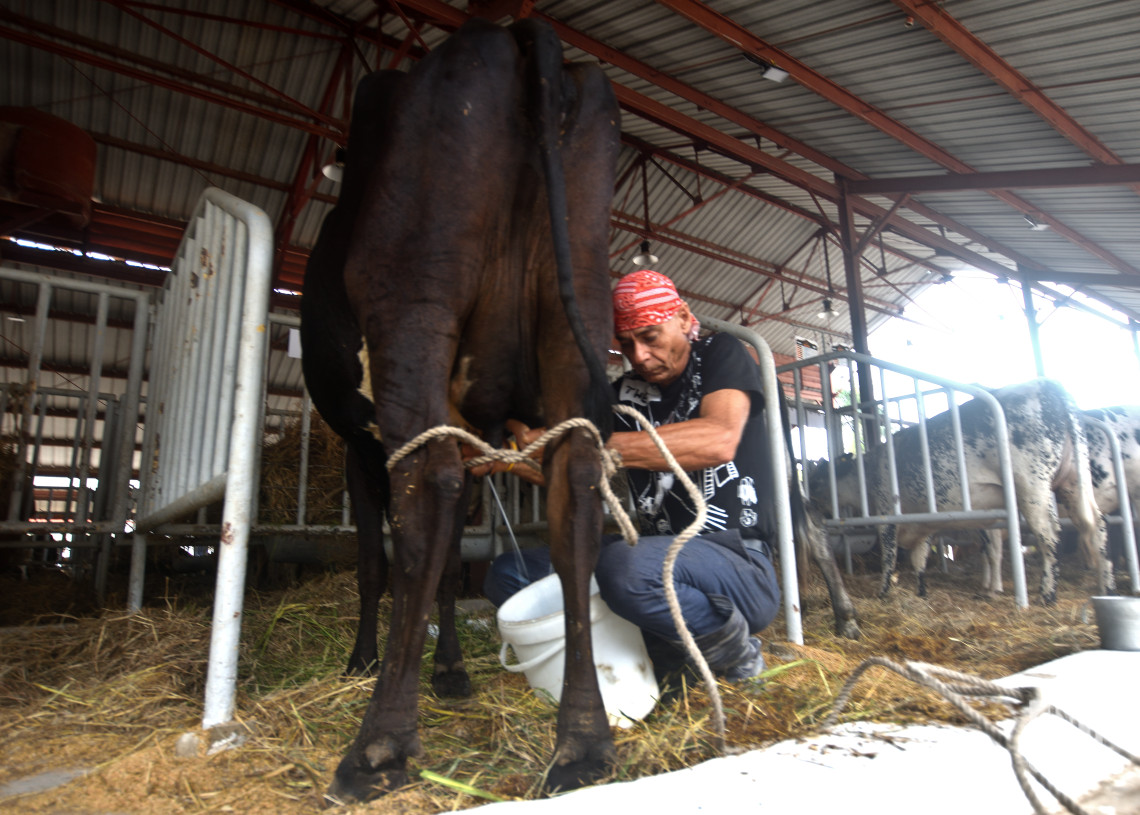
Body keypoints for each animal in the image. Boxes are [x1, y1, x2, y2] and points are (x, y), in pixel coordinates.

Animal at [298, 17, 620, 802]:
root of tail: (513, 32)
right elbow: (449, 569)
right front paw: (449, 669)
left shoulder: (358, 447)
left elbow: (377, 562)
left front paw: (363, 660)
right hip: (575, 311)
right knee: (575, 490)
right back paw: (584, 744)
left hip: (412, 293)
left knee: (428, 488)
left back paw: (377, 748)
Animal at [811, 378, 1112, 601]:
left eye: (817, 481)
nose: (806, 502)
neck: (866, 473)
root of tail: (1045, 384)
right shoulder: (922, 523)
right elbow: (919, 561)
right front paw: (921, 592)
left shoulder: (887, 515)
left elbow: (889, 558)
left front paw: (884, 592)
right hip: (1074, 484)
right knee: (1096, 526)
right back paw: (1106, 586)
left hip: (1033, 487)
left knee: (1049, 535)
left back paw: (1047, 594)